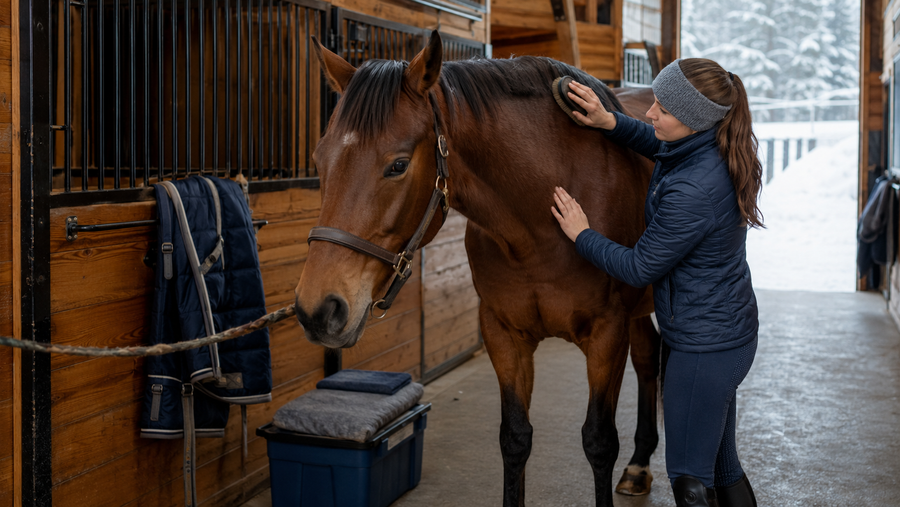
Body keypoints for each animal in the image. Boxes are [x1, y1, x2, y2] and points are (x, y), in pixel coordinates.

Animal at [293, 31, 662, 507]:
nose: (317, 310)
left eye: (398, 165)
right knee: (649, 355)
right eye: (320, 160)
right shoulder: (503, 335)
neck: (543, 216)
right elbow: (515, 438)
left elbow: (599, 441)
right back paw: (639, 465)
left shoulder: (606, 335)